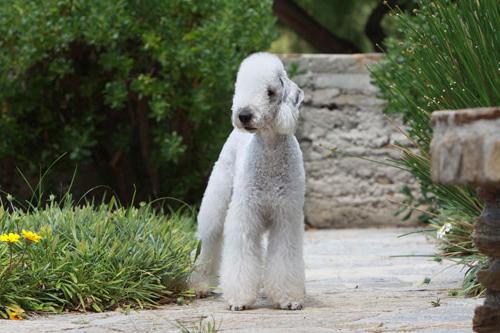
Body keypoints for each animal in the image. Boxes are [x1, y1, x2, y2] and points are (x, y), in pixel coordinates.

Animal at [189, 51, 304, 308]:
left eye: (270, 92)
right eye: (239, 88)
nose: (243, 115)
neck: (269, 150)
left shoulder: (286, 216)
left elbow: (284, 258)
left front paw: (288, 299)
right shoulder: (246, 213)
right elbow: (241, 256)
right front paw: (239, 300)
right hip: (217, 199)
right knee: (208, 241)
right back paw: (198, 286)